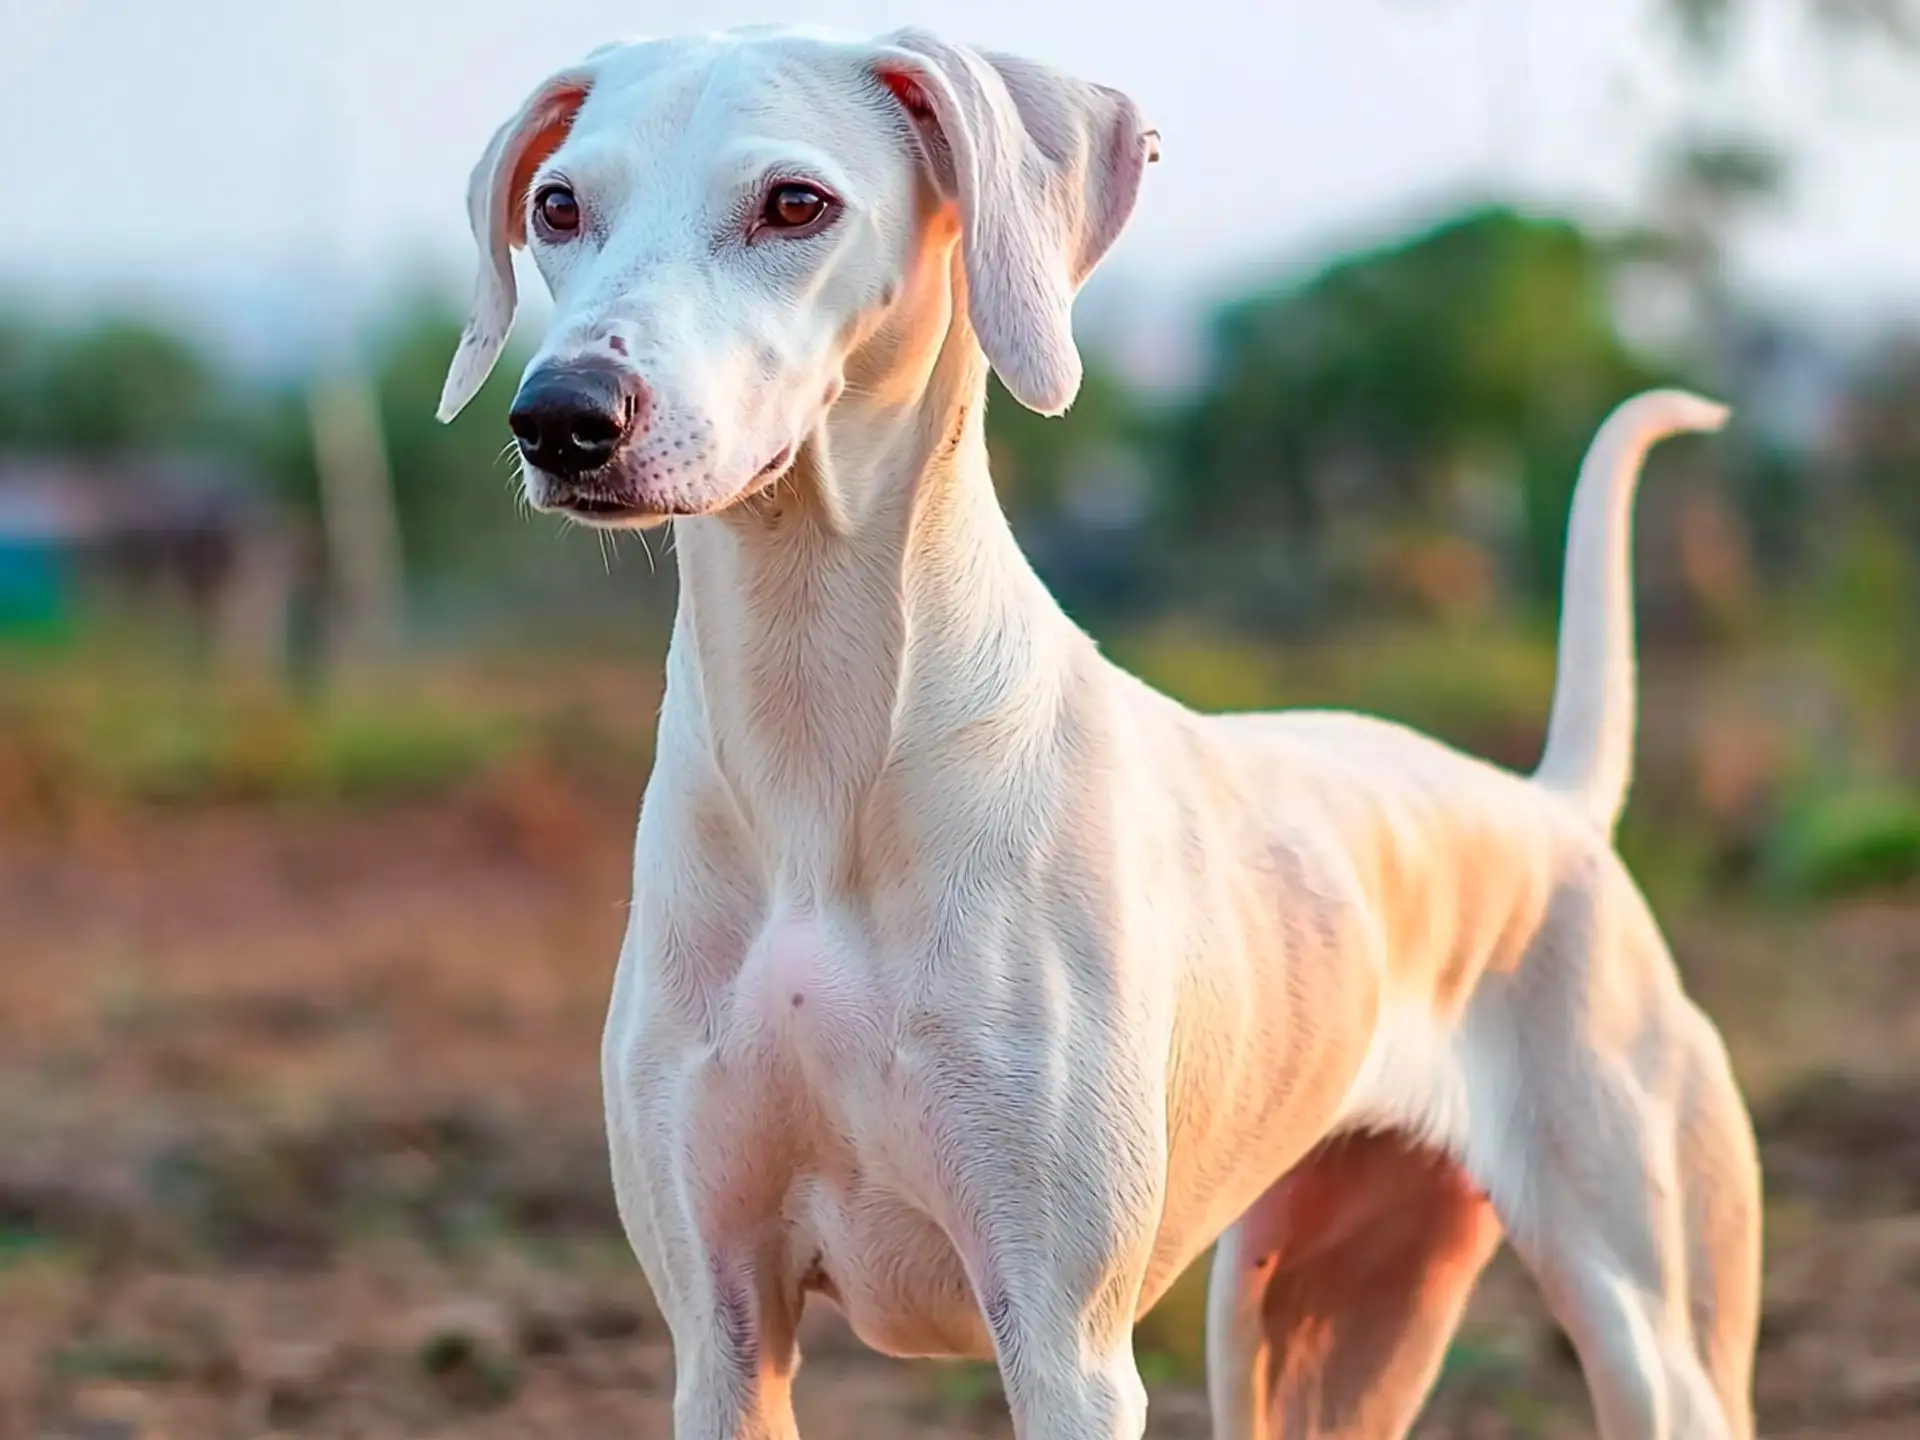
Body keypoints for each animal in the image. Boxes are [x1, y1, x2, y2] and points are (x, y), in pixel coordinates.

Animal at [441, 25, 1758, 1440]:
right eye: (557, 207)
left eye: (795, 204)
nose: (563, 415)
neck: (821, 743)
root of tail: (1557, 808)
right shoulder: (721, 1334)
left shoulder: (1064, 1339)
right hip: (1309, 1328)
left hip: (1650, 1330)